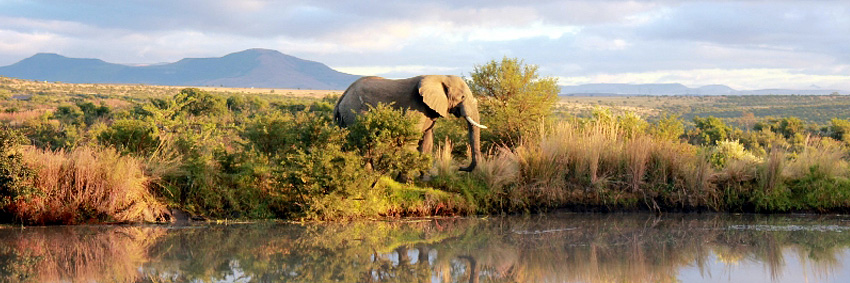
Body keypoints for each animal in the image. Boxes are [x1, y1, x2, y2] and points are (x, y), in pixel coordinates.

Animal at [334, 75, 486, 172]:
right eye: (462, 97)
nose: (461, 168)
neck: (440, 77)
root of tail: (343, 95)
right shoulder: (416, 107)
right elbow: (412, 140)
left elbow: (427, 141)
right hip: (355, 112)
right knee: (364, 142)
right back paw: (368, 174)